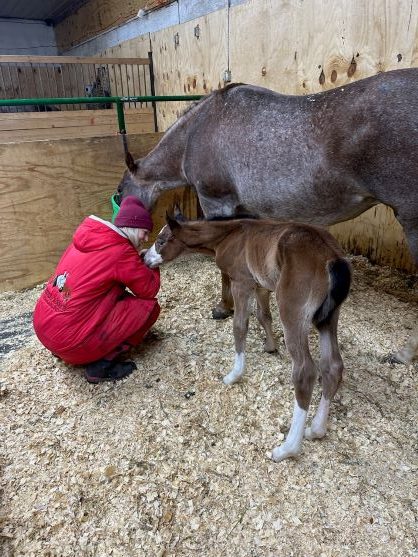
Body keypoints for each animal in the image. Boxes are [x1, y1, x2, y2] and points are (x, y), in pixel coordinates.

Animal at [116, 67, 418, 362]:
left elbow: (222, 269)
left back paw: (404, 354)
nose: (124, 230)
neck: (197, 131)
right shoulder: (246, 213)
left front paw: (223, 307)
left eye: (120, 192)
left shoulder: (217, 204)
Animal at [145, 213, 352, 460]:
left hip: (292, 310)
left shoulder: (241, 282)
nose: (144, 257)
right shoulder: (260, 285)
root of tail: (332, 257)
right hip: (328, 318)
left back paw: (288, 448)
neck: (230, 235)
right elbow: (263, 316)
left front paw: (234, 375)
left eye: (161, 241)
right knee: (333, 366)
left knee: (305, 371)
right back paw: (317, 429)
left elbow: (239, 326)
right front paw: (270, 346)